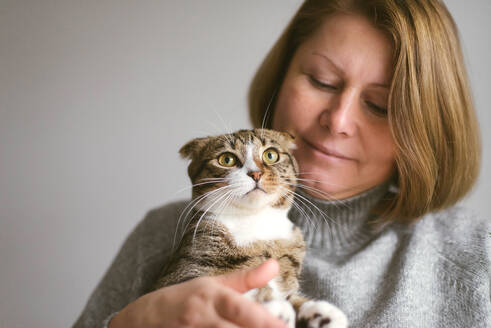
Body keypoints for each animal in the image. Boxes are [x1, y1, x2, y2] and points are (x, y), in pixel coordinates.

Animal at [154, 129, 350, 326]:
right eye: (226, 159)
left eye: (271, 155)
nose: (255, 173)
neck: (255, 222)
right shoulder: (181, 277)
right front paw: (271, 306)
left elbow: (291, 297)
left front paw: (319, 313)